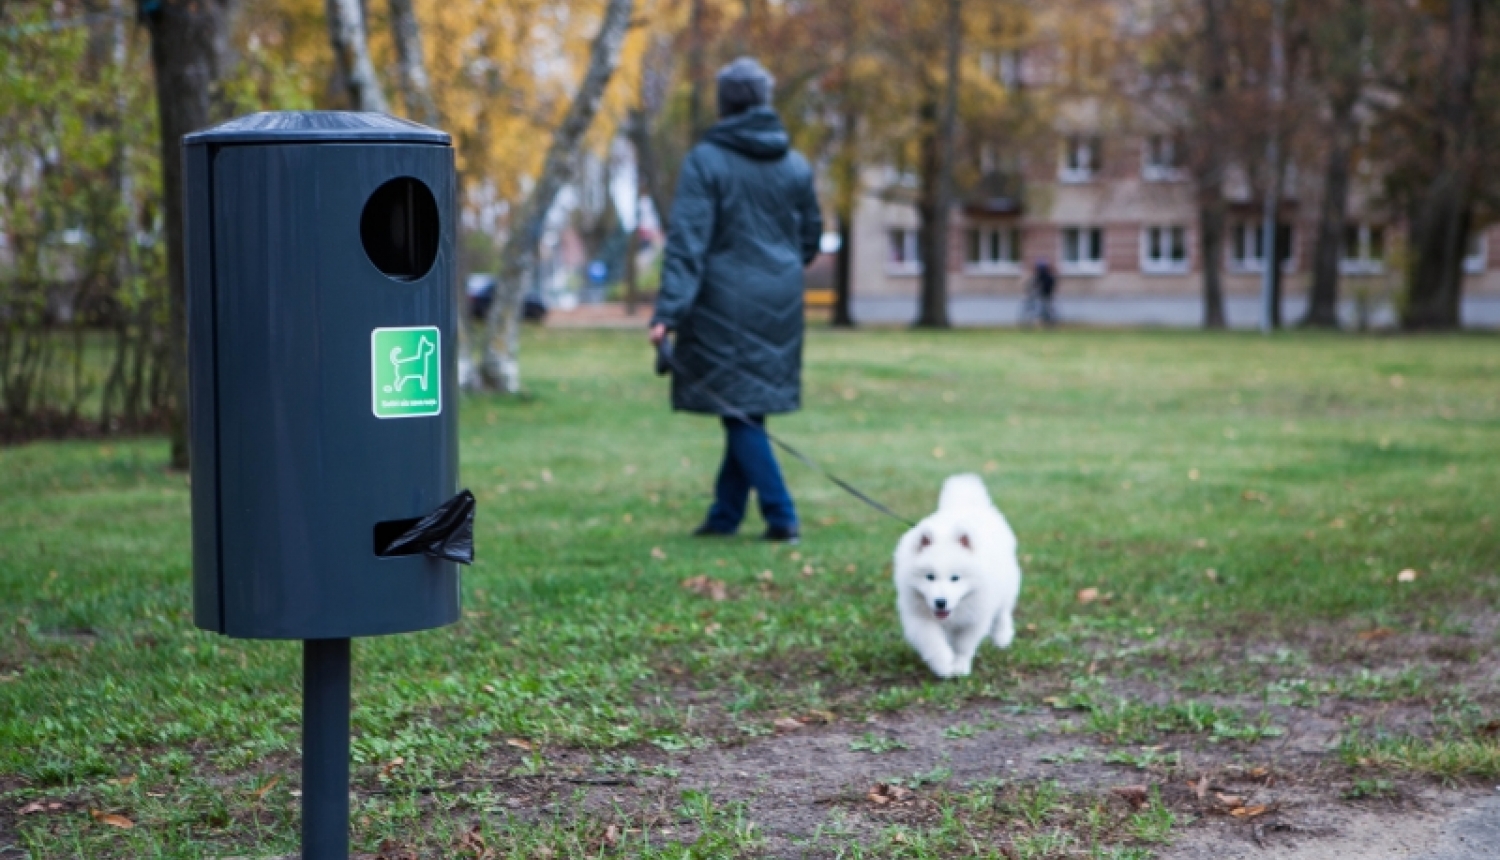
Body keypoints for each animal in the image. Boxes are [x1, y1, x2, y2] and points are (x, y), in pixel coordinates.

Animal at [888, 468, 1020, 678]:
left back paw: (1002, 637)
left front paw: (960, 666)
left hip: (1007, 586)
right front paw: (944, 665)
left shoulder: (976, 617)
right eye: (930, 577)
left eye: (955, 578)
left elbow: (964, 646)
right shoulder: (919, 617)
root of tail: (966, 505)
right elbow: (933, 642)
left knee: (1003, 612)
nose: (940, 602)